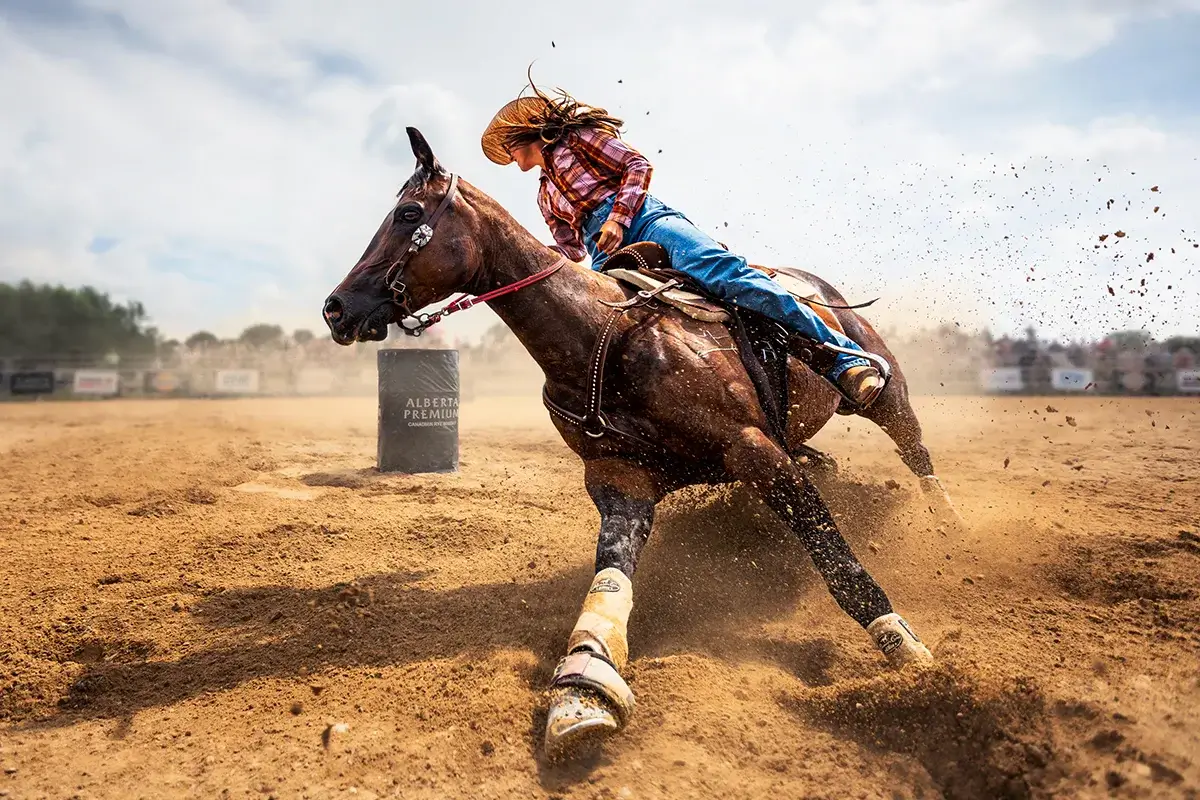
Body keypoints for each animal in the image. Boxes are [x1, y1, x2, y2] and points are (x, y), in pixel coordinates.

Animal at [321, 128, 964, 762]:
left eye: (408, 213)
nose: (336, 308)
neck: (598, 336)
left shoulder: (755, 452)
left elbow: (838, 564)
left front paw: (909, 654)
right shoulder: (619, 478)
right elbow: (610, 580)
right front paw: (584, 686)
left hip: (886, 394)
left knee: (914, 451)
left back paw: (947, 524)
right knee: (831, 461)